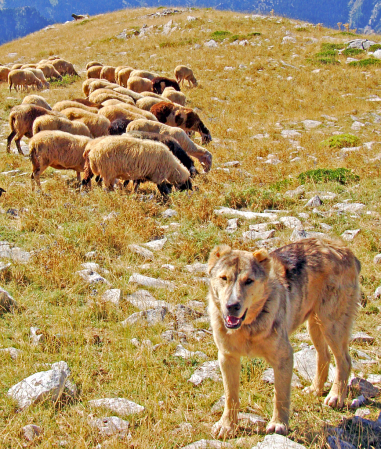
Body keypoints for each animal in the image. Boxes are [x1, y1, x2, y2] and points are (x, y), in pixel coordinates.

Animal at [208, 238, 360, 438]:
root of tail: (344, 249)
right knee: (324, 356)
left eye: (249, 281)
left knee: (344, 361)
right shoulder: (227, 356)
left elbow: (280, 394)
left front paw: (278, 424)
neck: (248, 326)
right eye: (224, 278)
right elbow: (230, 396)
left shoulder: (283, 356)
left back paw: (335, 396)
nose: (232, 306)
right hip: (315, 323)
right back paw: (316, 389)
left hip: (332, 324)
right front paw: (227, 426)